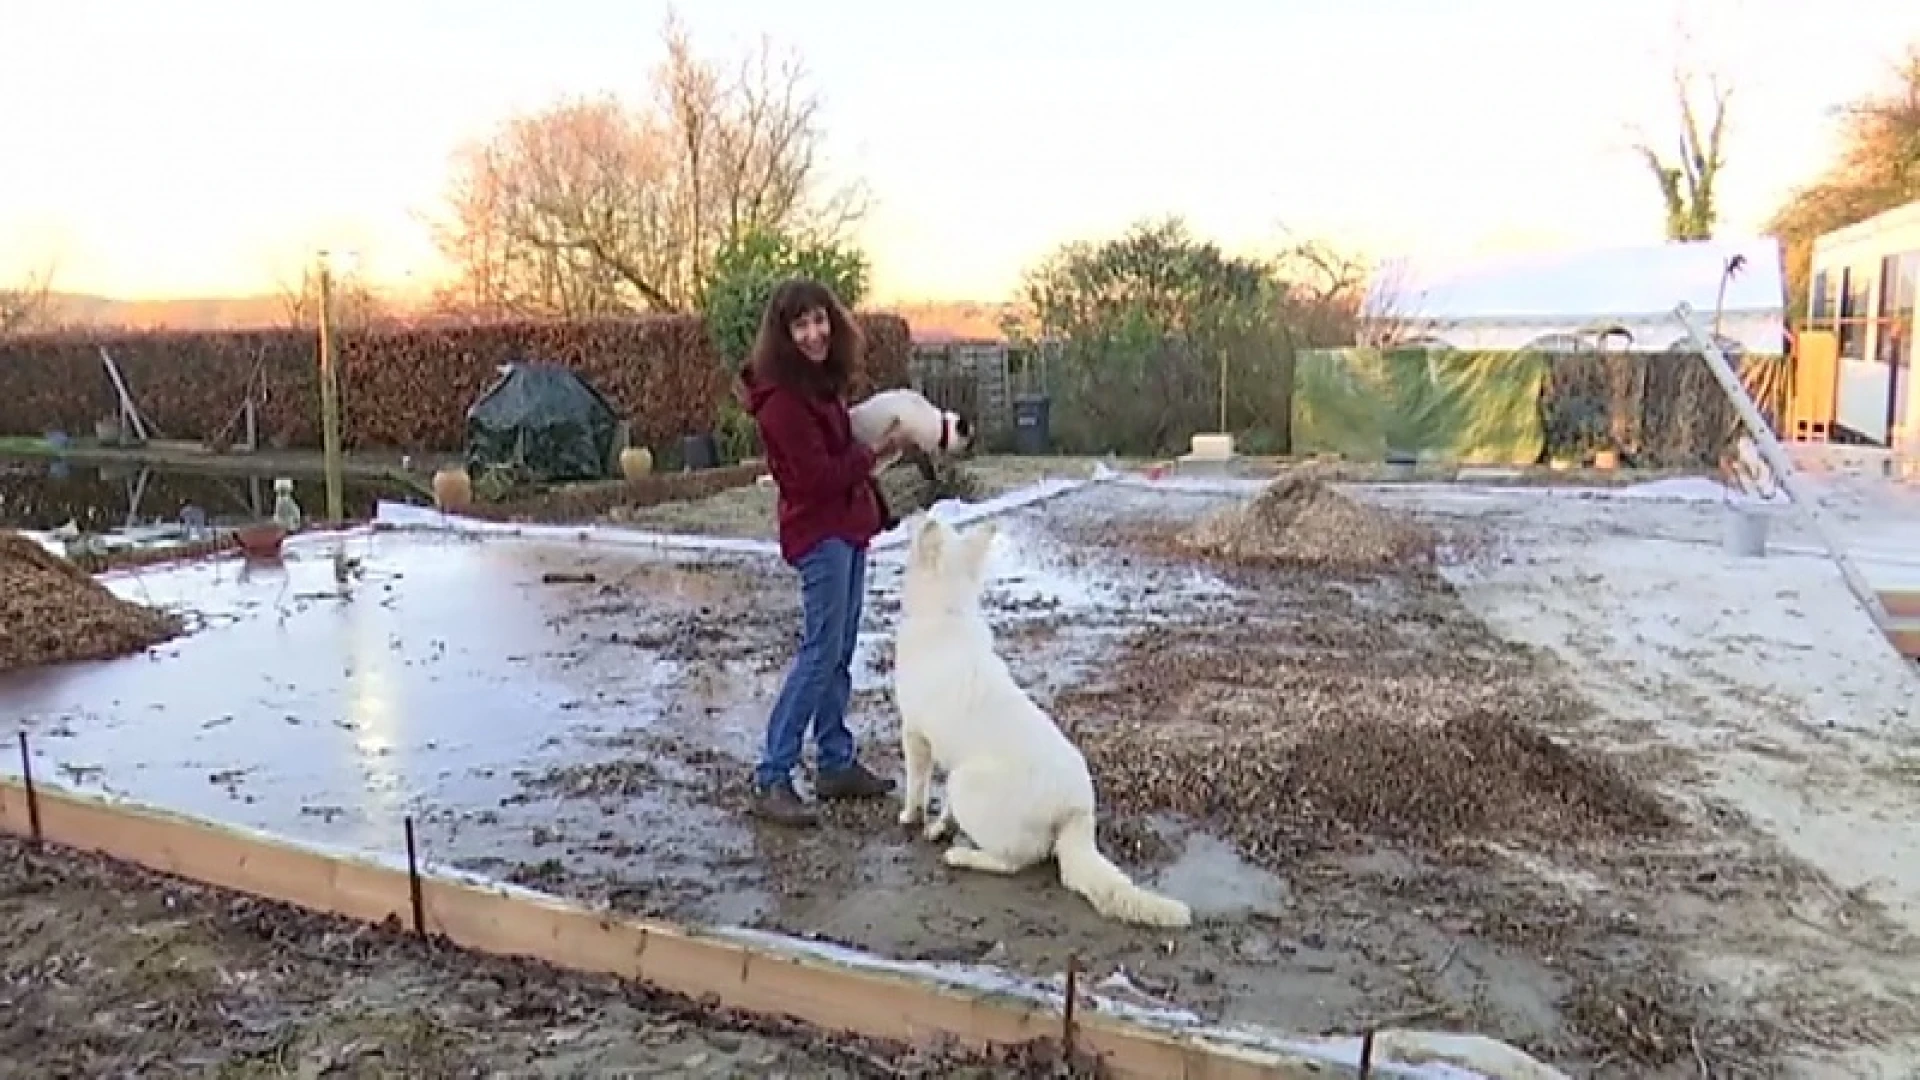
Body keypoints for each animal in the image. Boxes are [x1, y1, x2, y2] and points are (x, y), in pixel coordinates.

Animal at [890, 511, 1190, 926]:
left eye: (923, 526)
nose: (916, 513)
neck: (946, 614)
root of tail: (1077, 809)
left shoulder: (915, 736)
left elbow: (916, 785)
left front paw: (910, 816)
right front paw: (938, 824)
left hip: (967, 782)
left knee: (1013, 862)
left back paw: (963, 855)